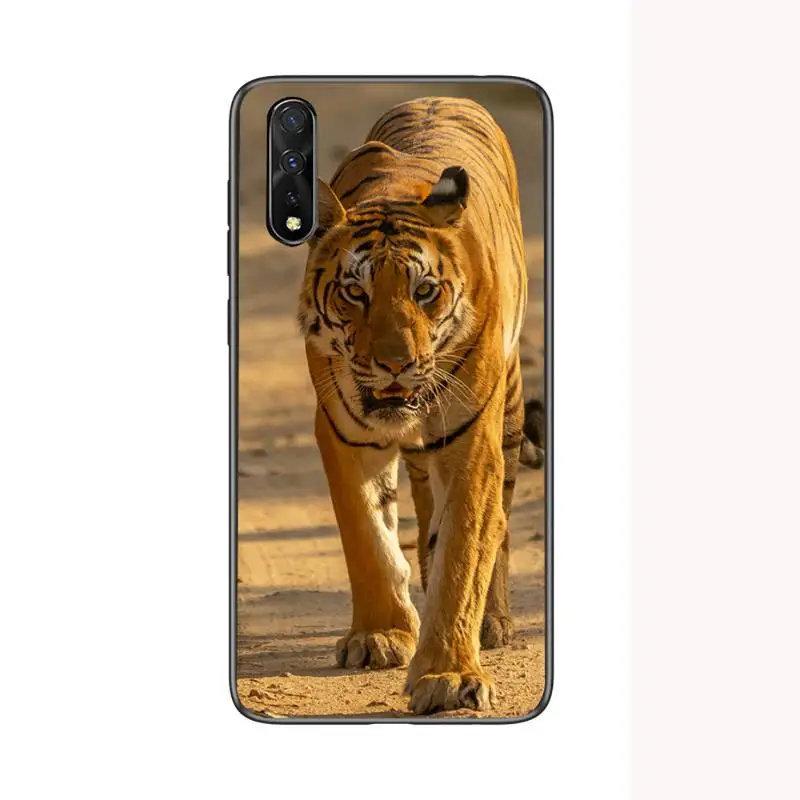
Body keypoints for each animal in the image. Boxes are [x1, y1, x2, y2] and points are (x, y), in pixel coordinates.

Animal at [298, 97, 530, 714]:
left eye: (424, 291)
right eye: (355, 292)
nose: (395, 364)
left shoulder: (473, 440)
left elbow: (464, 551)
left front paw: (450, 675)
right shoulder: (343, 431)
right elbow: (367, 535)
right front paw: (380, 634)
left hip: (510, 406)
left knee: (500, 514)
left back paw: (493, 621)